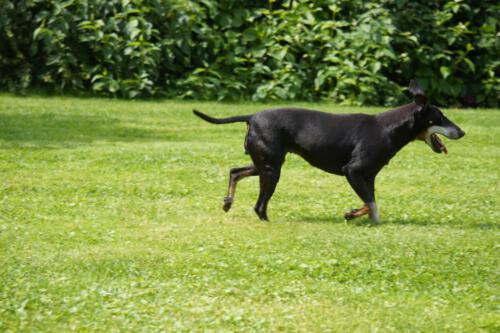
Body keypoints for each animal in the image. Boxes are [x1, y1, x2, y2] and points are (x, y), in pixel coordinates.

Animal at [194, 79, 464, 222]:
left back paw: (228, 202)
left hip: (263, 164)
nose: (462, 132)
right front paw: (352, 214)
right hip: (272, 169)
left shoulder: (369, 175)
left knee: (235, 171)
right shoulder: (353, 171)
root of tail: (251, 116)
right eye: (440, 117)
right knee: (259, 206)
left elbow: (372, 203)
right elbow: (370, 203)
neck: (388, 129)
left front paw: (364, 219)